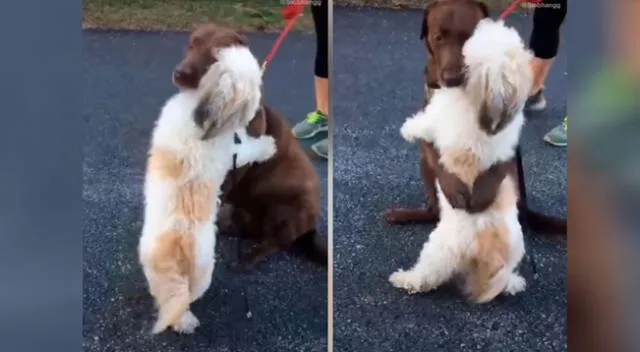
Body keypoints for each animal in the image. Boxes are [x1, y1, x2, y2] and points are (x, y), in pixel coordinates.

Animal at [139, 43, 276, 332]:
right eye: (254, 84)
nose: (259, 98)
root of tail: (178, 239)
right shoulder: (233, 150)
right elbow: (249, 148)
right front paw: (267, 146)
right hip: (201, 271)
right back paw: (187, 322)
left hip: (162, 273)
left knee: (171, 299)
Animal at [172, 23, 324, 268]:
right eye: (192, 44)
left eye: (217, 56)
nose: (180, 73)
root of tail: (309, 232)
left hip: (292, 205)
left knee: (276, 242)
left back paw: (249, 257)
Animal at [384, 0, 564, 236]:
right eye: (438, 37)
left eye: (469, 38)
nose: (452, 78)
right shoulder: (429, 129)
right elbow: (435, 151)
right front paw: (453, 185)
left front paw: (482, 192)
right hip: (424, 167)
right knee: (434, 210)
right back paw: (404, 214)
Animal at [390, 13, 536, 302]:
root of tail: (488, 240)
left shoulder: (437, 117)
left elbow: (424, 124)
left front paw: (409, 128)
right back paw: (512, 283)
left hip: (439, 248)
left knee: (426, 276)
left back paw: (405, 278)